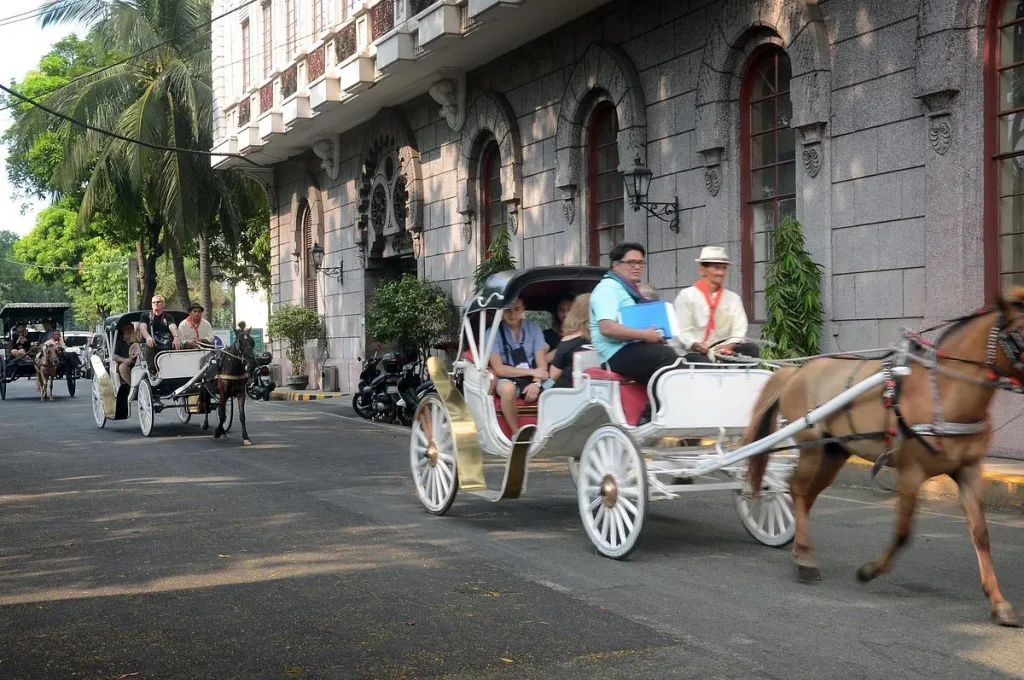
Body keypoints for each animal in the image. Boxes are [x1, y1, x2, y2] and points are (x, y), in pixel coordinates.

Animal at [745, 284, 1024, 626]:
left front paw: (999, 603)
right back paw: (806, 560)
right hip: (811, 446)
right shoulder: (910, 472)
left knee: (807, 496)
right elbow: (903, 532)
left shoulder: (969, 469)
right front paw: (869, 571)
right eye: (1020, 335)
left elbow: (982, 534)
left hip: (834, 452)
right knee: (797, 490)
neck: (944, 393)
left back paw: (801, 549)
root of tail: (799, 370)